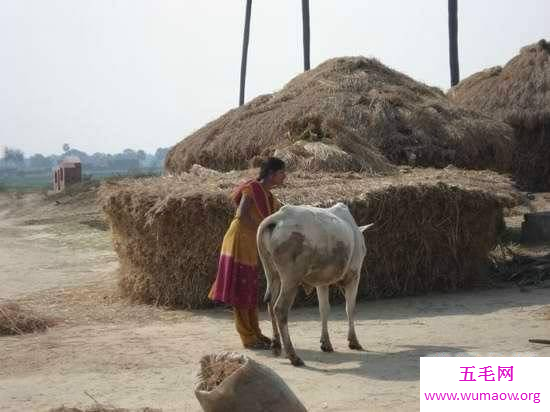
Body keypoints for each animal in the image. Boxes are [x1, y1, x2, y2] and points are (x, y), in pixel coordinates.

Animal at [256, 201, 374, 366]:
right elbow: (350, 308)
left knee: (270, 304)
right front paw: (353, 341)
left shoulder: (321, 283)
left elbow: (324, 309)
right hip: (291, 279)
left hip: (273, 275)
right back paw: (293, 356)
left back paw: (276, 346)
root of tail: (277, 218)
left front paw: (326, 343)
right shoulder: (354, 275)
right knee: (280, 309)